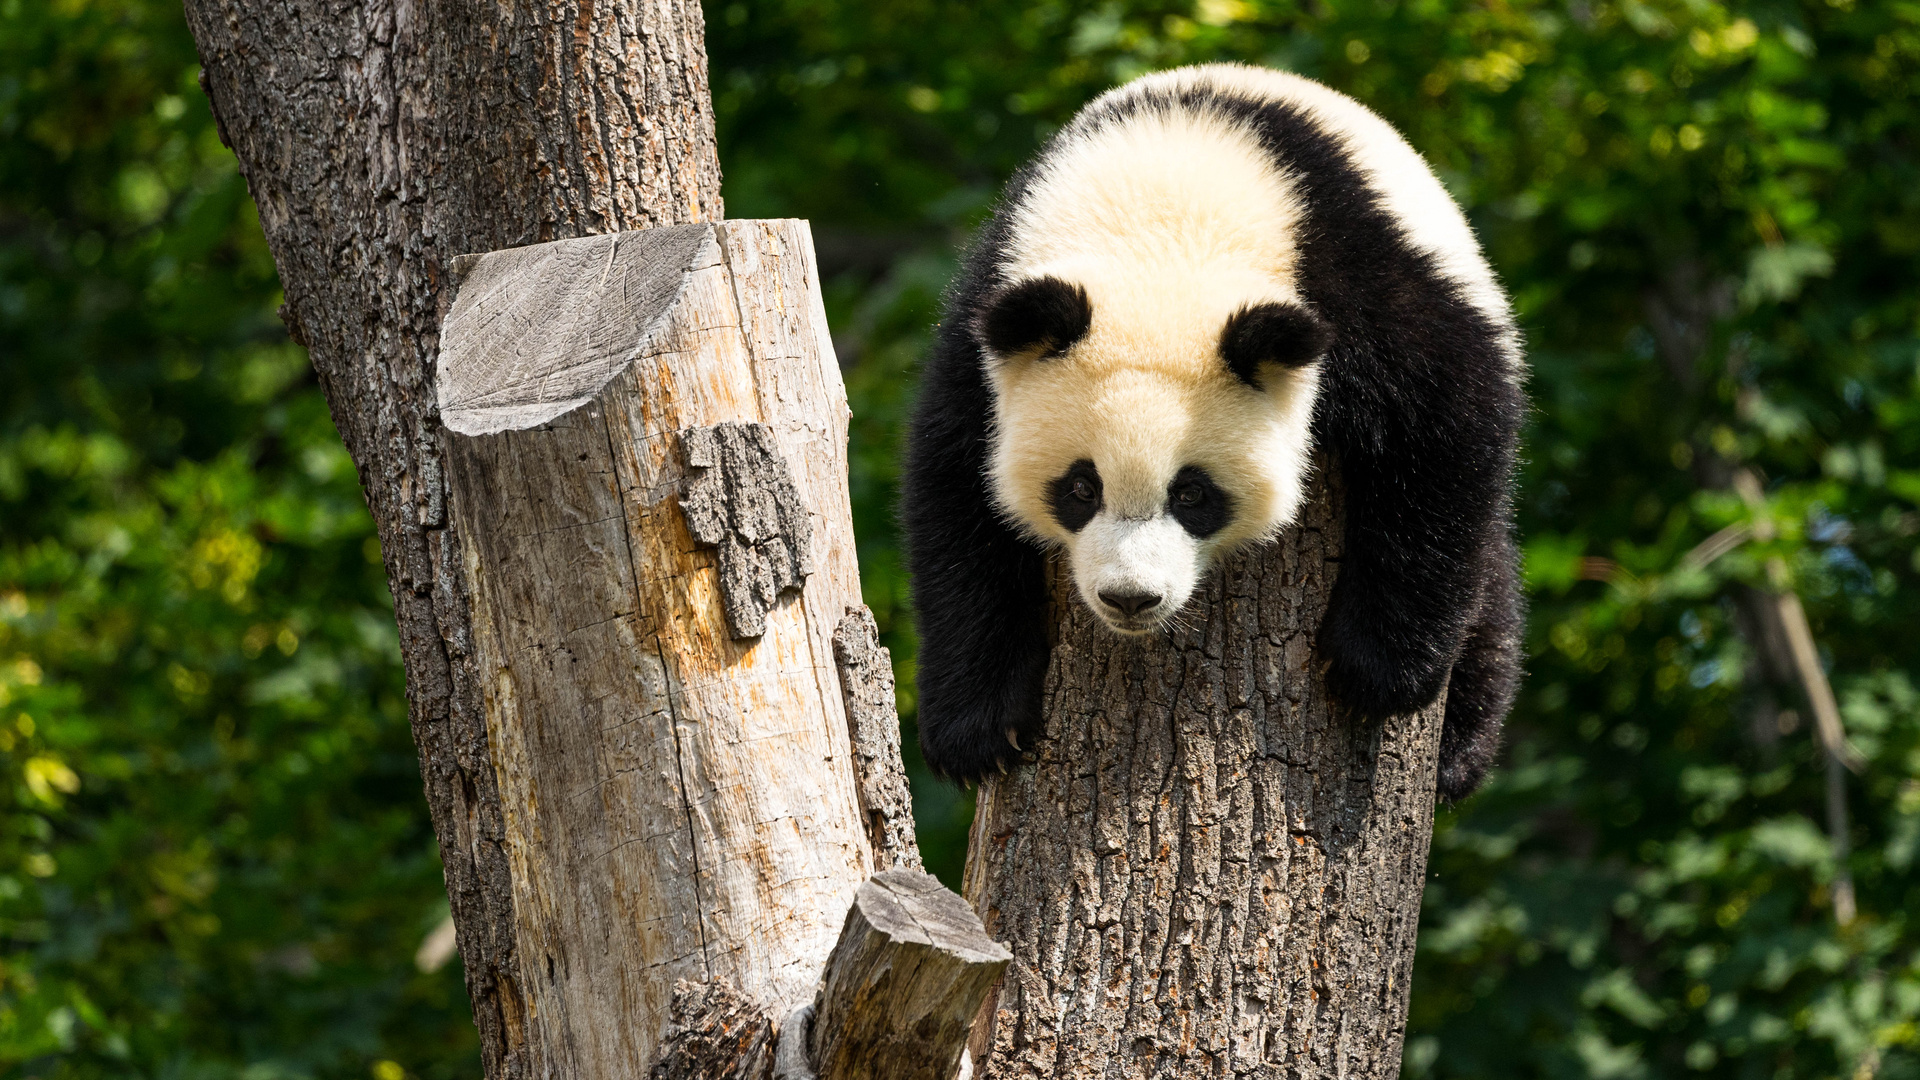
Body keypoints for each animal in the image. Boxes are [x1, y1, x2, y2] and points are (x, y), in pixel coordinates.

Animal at [902, 61, 1528, 799]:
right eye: (1080, 489)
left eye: (1193, 494)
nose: (1130, 597)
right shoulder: (988, 328)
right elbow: (954, 492)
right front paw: (977, 733)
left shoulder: (1354, 277)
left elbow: (1446, 416)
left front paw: (1375, 672)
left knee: (1490, 585)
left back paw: (1461, 746)